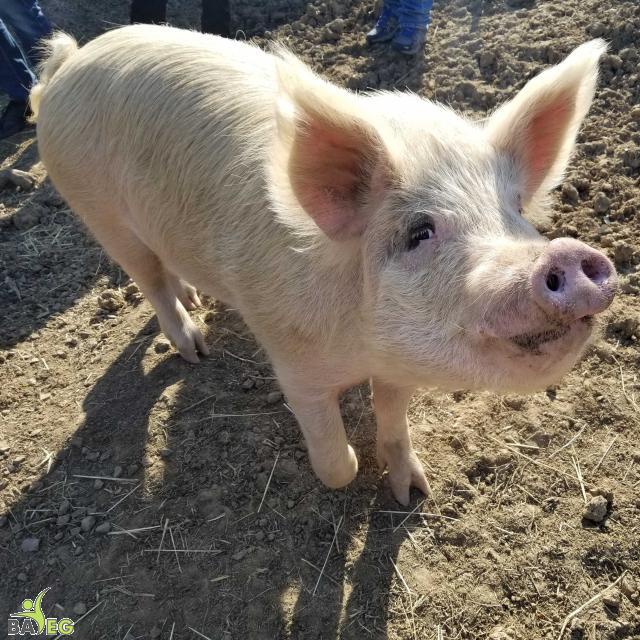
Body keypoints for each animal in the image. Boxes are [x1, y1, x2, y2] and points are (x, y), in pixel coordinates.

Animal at [30, 27, 616, 504]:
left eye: (516, 211)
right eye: (419, 232)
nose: (568, 255)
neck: (360, 345)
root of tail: (72, 61)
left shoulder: (397, 363)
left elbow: (395, 422)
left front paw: (414, 494)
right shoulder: (293, 362)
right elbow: (336, 462)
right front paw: (352, 471)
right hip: (96, 209)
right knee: (148, 279)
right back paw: (195, 348)